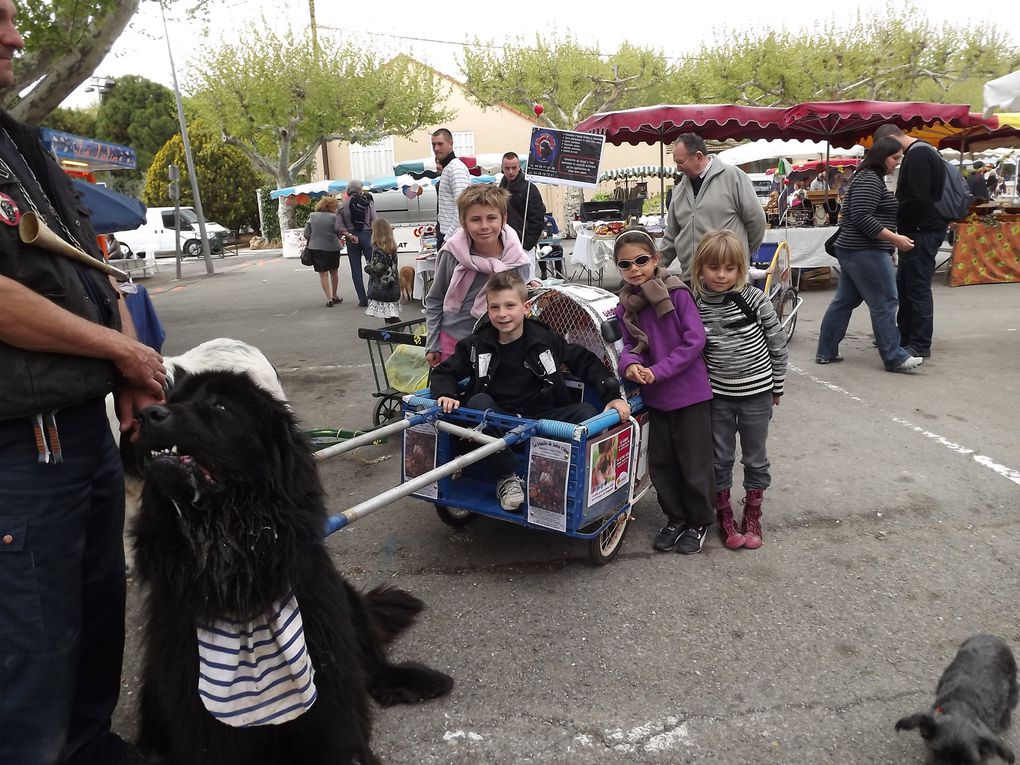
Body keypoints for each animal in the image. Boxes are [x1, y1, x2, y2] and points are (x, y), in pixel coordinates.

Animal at [130, 369, 450, 762]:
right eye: (172, 399)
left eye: (220, 405)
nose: (146, 415)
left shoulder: (326, 660)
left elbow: (340, 731)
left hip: (344, 600)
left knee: (371, 662)